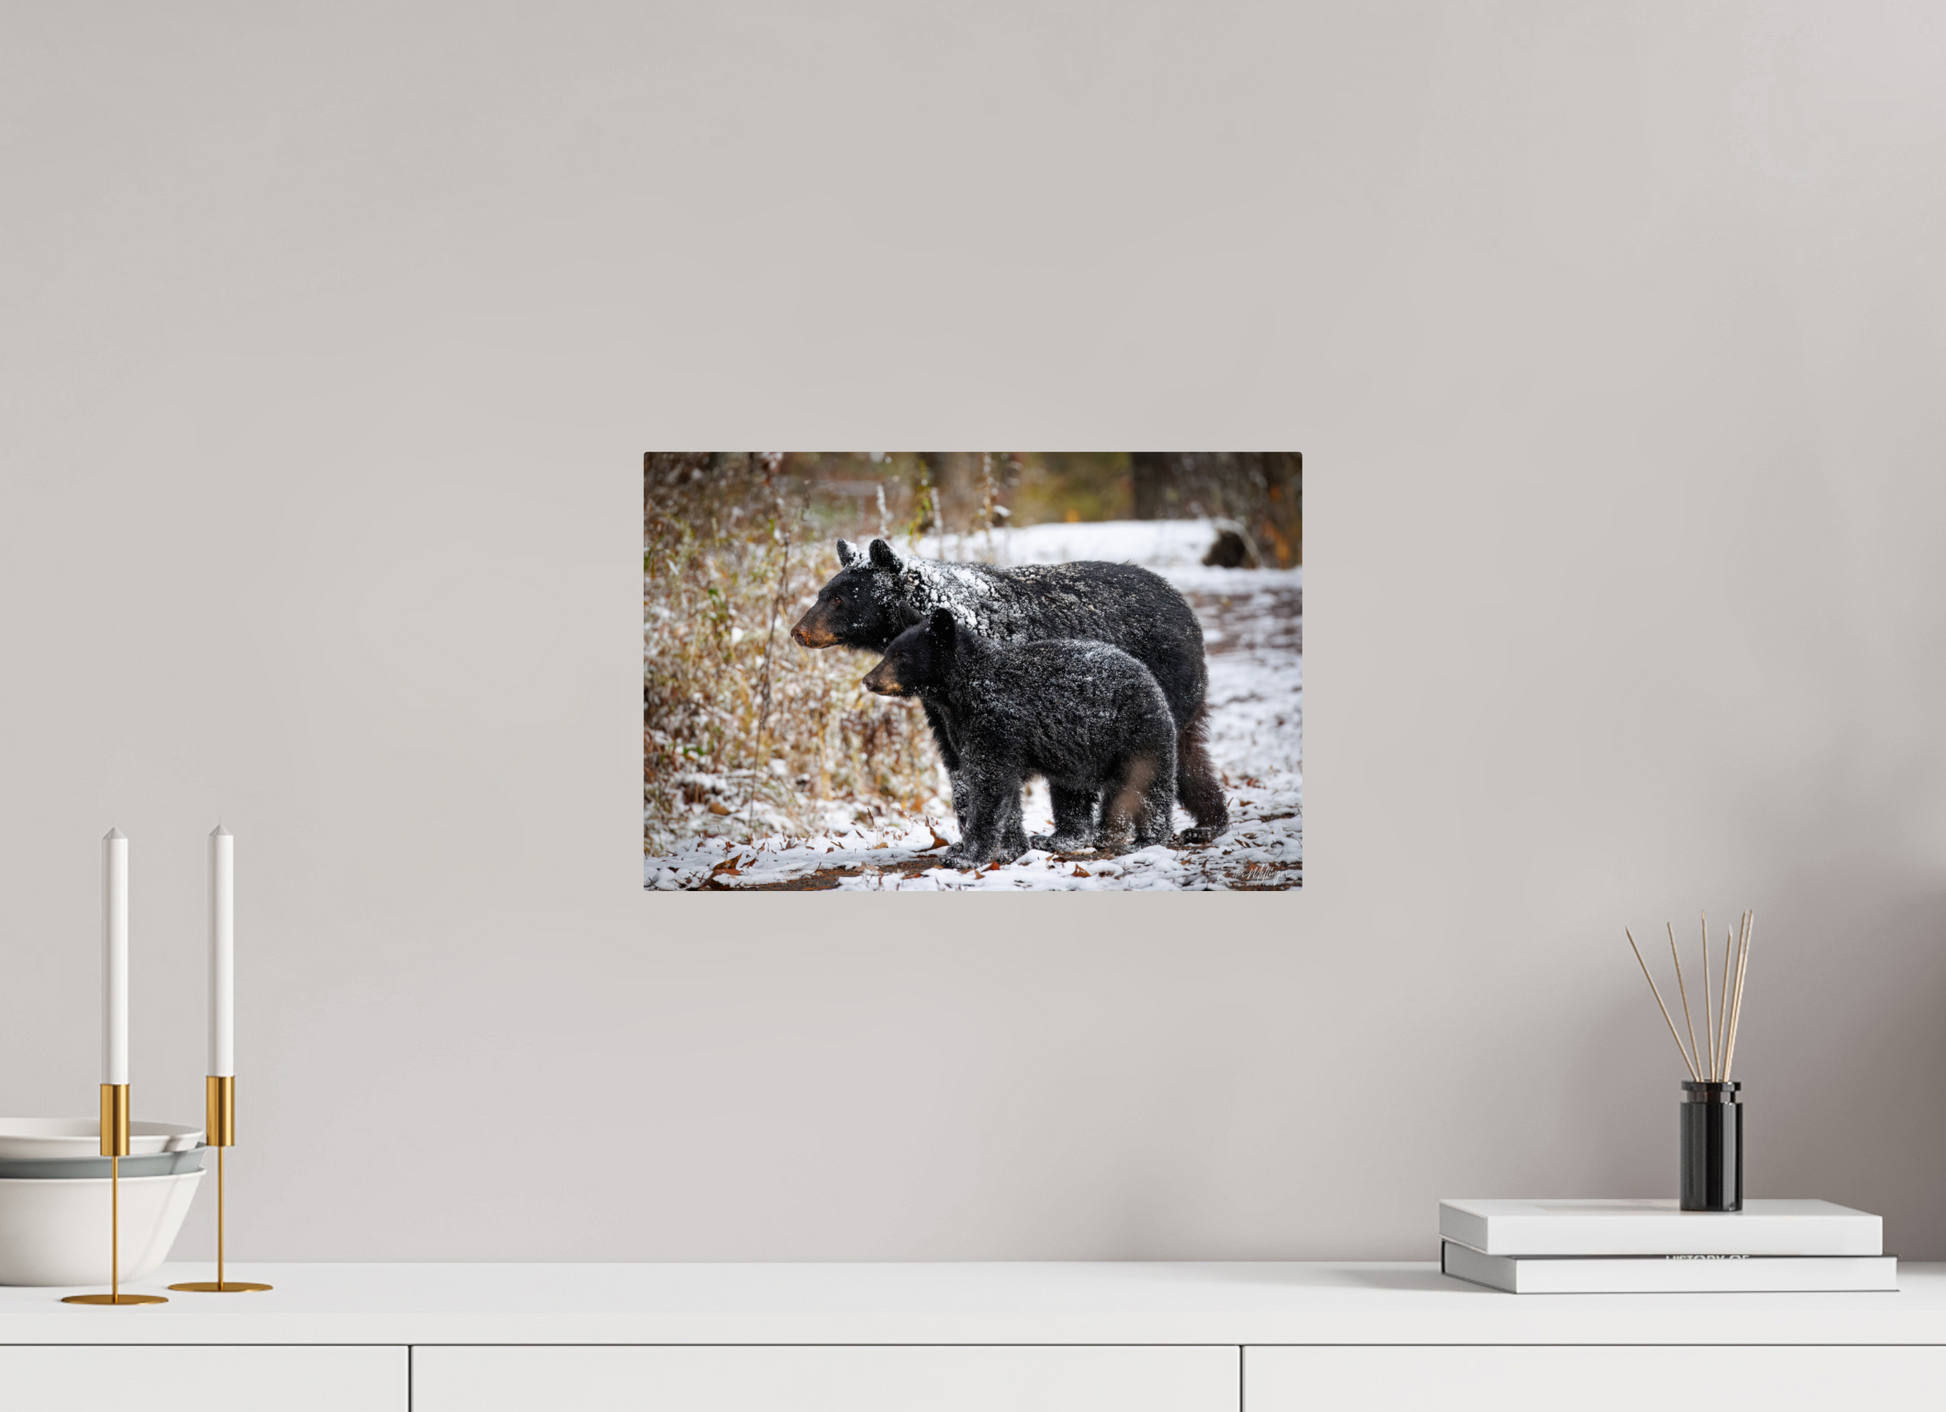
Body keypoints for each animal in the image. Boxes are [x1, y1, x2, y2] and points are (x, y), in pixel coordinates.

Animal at [861, 608, 1178, 870]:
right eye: (887, 651)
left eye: (901, 657)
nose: (868, 680)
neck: (965, 690)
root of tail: (1146, 675)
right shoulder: (968, 730)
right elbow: (1005, 792)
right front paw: (1011, 849)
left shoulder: (996, 722)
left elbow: (989, 786)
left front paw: (967, 856)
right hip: (1075, 753)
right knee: (1070, 792)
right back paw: (1062, 839)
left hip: (1136, 732)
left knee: (1150, 786)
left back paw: (1147, 840)